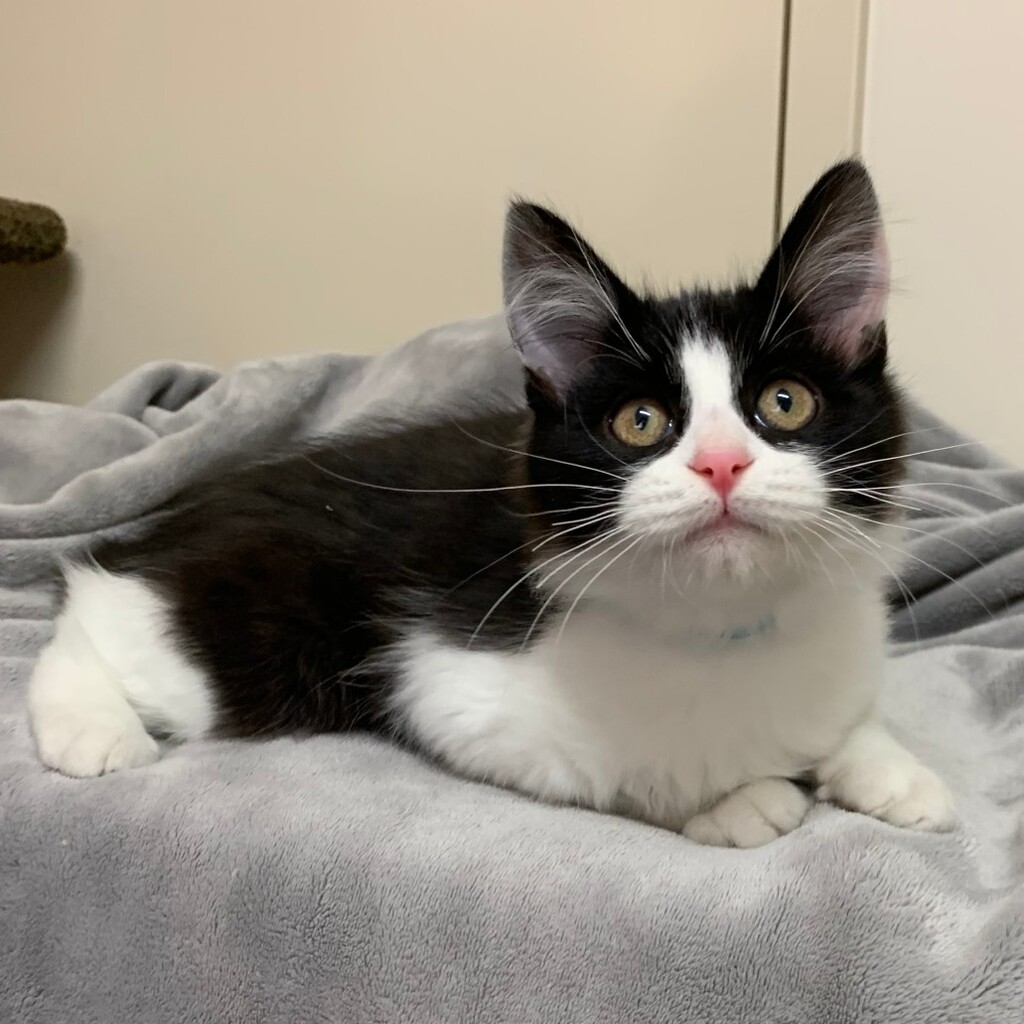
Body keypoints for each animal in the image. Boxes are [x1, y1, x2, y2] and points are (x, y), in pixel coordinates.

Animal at [27, 160, 954, 847]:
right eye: (641, 421)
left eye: (785, 402)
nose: (720, 464)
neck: (728, 621)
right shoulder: (445, 677)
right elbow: (622, 765)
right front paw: (742, 800)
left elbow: (840, 713)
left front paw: (892, 769)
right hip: (260, 630)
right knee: (97, 604)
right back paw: (93, 729)